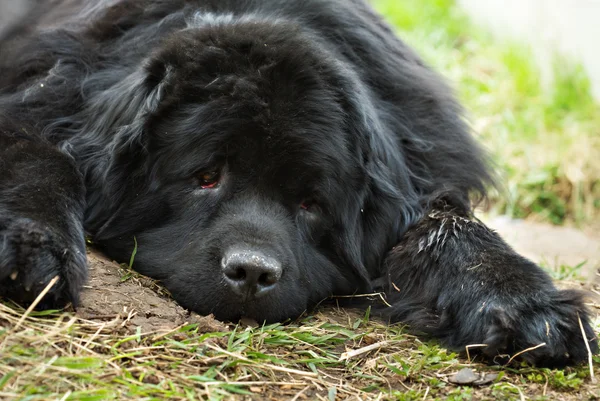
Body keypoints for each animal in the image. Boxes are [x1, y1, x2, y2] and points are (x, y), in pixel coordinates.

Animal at [0, 0, 596, 366]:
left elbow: (446, 223)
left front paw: (526, 306)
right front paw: (32, 249)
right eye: (205, 177)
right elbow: (38, 156)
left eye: (311, 202)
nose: (251, 272)